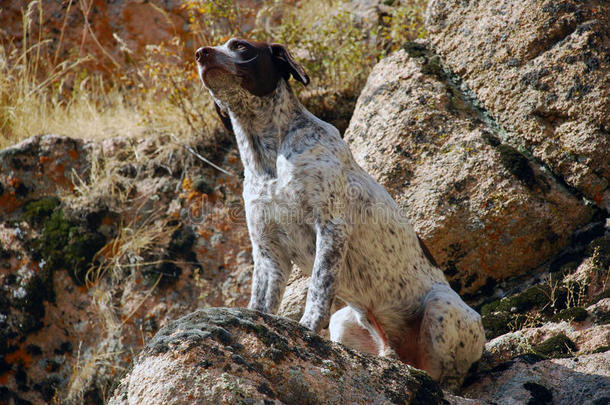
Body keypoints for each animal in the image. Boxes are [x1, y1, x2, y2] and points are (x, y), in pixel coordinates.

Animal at [196, 38, 484, 388]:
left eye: (241, 46)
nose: (201, 54)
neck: (266, 158)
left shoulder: (330, 228)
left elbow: (318, 291)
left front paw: (305, 329)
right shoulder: (268, 253)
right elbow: (260, 305)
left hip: (440, 307)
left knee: (448, 376)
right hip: (345, 321)